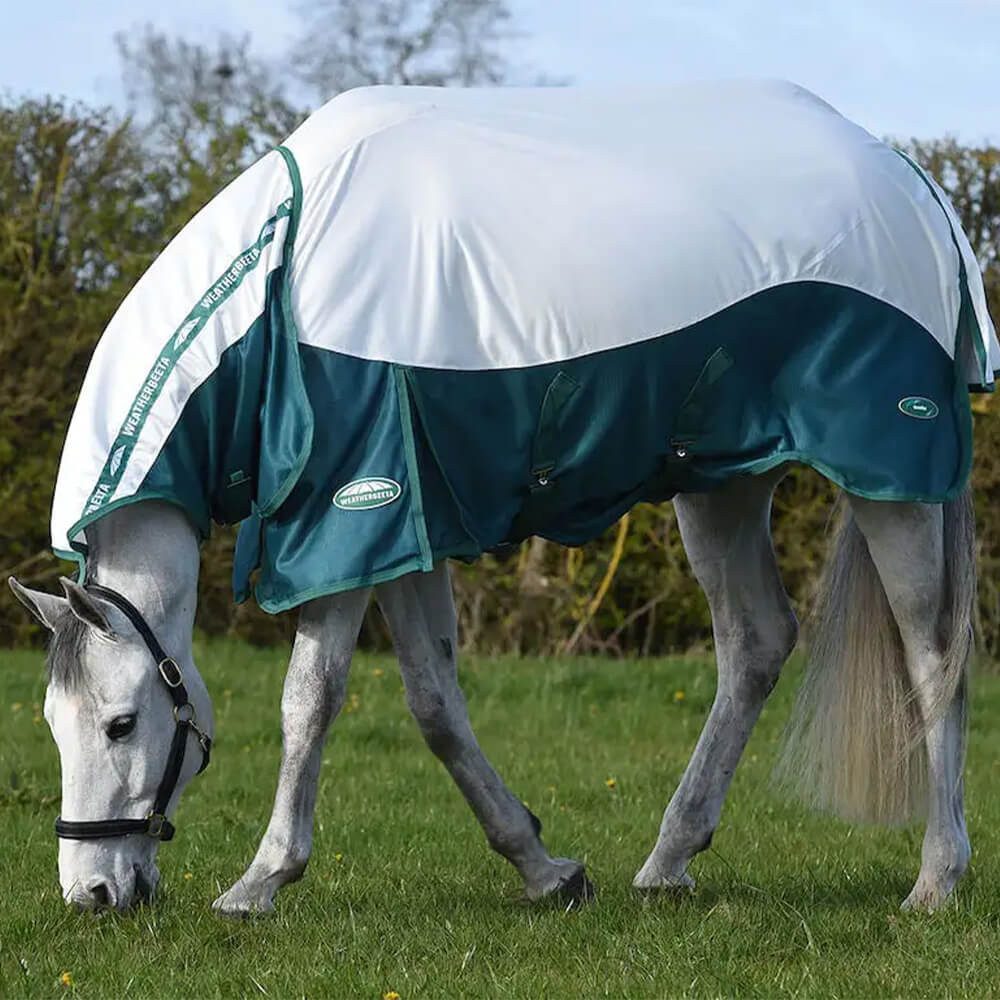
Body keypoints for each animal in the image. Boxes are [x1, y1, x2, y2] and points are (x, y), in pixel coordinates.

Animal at [9, 81, 997, 913]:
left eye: (121, 723)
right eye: (52, 722)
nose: (92, 893)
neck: (277, 281)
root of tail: (912, 182)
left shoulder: (348, 521)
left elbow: (309, 700)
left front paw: (260, 880)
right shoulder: (401, 531)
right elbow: (435, 705)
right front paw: (545, 868)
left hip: (890, 482)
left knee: (933, 654)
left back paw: (936, 879)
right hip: (722, 485)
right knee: (756, 643)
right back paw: (669, 859)